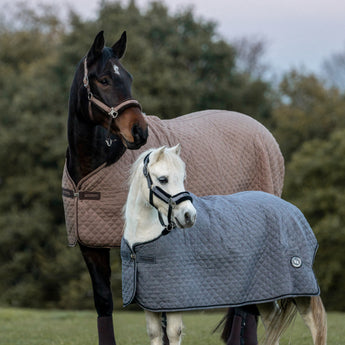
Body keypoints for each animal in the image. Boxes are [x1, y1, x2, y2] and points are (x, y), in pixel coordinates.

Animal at [123, 144, 326, 344]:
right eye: (163, 179)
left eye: (182, 178)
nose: (189, 216)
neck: (145, 238)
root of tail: (293, 210)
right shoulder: (152, 302)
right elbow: (154, 333)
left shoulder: (176, 299)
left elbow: (173, 333)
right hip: (267, 290)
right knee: (273, 324)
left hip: (300, 288)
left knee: (316, 323)